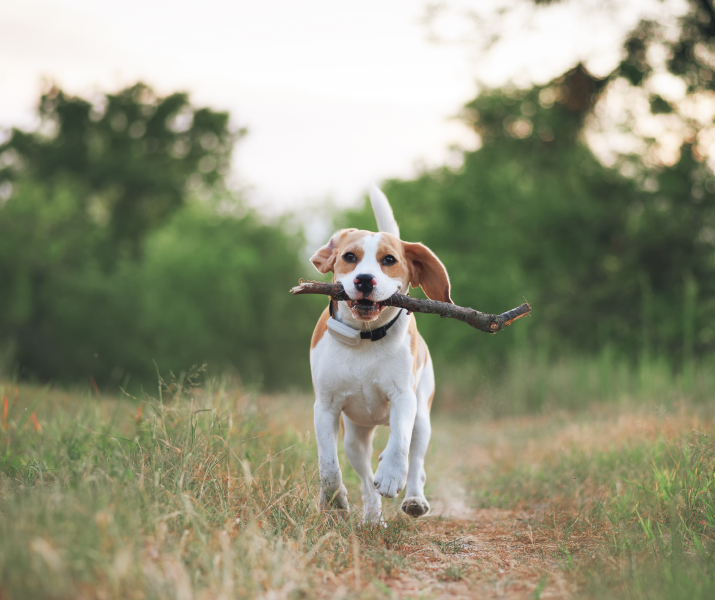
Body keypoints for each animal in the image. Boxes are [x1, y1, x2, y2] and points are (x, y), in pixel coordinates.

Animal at [310, 185, 454, 524]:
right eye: (349, 257)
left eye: (389, 260)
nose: (364, 280)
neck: (365, 337)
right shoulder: (324, 407)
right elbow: (328, 463)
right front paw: (334, 497)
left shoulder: (404, 398)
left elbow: (399, 442)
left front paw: (390, 474)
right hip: (354, 437)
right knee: (364, 479)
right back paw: (373, 517)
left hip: (423, 418)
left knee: (416, 462)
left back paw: (414, 499)